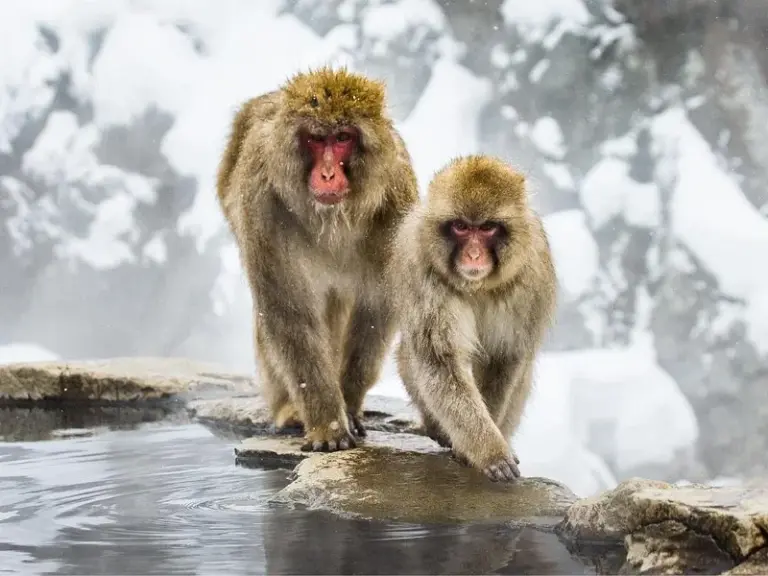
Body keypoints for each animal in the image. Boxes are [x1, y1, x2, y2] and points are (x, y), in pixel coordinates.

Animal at [216, 67, 418, 452]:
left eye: (342, 138)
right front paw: (328, 423)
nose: (326, 175)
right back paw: (290, 410)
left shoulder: (395, 203)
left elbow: (377, 307)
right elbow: (289, 311)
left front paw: (348, 404)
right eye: (314, 138)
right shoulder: (262, 205)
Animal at [390, 155, 557, 482]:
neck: (478, 286)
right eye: (461, 227)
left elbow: (505, 358)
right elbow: (441, 363)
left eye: (488, 228)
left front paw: (491, 448)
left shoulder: (531, 276)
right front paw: (490, 452)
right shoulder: (422, 271)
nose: (474, 255)